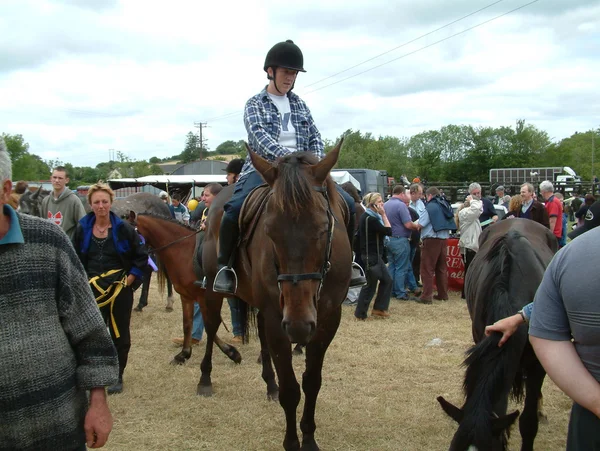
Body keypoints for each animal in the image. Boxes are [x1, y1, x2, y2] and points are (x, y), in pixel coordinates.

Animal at [202, 141, 352, 451]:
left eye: (323, 228)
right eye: (269, 231)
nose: (298, 325)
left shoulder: (328, 319)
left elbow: (311, 382)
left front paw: (309, 439)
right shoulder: (278, 319)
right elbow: (291, 390)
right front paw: (292, 442)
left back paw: (269, 384)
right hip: (214, 290)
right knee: (210, 328)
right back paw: (206, 378)